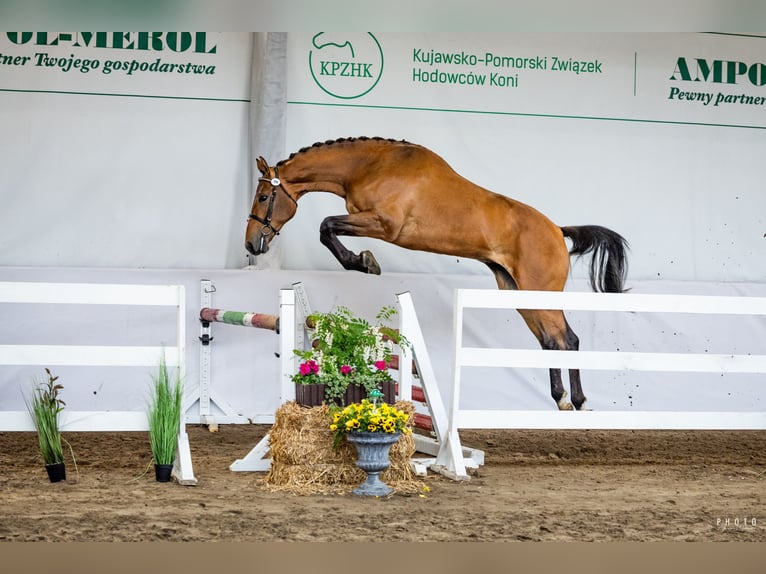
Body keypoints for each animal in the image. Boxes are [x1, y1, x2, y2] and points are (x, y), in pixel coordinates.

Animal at [246, 136, 629, 411]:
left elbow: (326, 226)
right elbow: (327, 228)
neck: (369, 166)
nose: (251, 243)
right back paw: (562, 400)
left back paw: (575, 401)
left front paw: (364, 261)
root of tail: (556, 230)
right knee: (551, 341)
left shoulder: (384, 225)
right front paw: (363, 260)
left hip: (539, 291)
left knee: (568, 340)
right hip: (517, 293)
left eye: (263, 196)